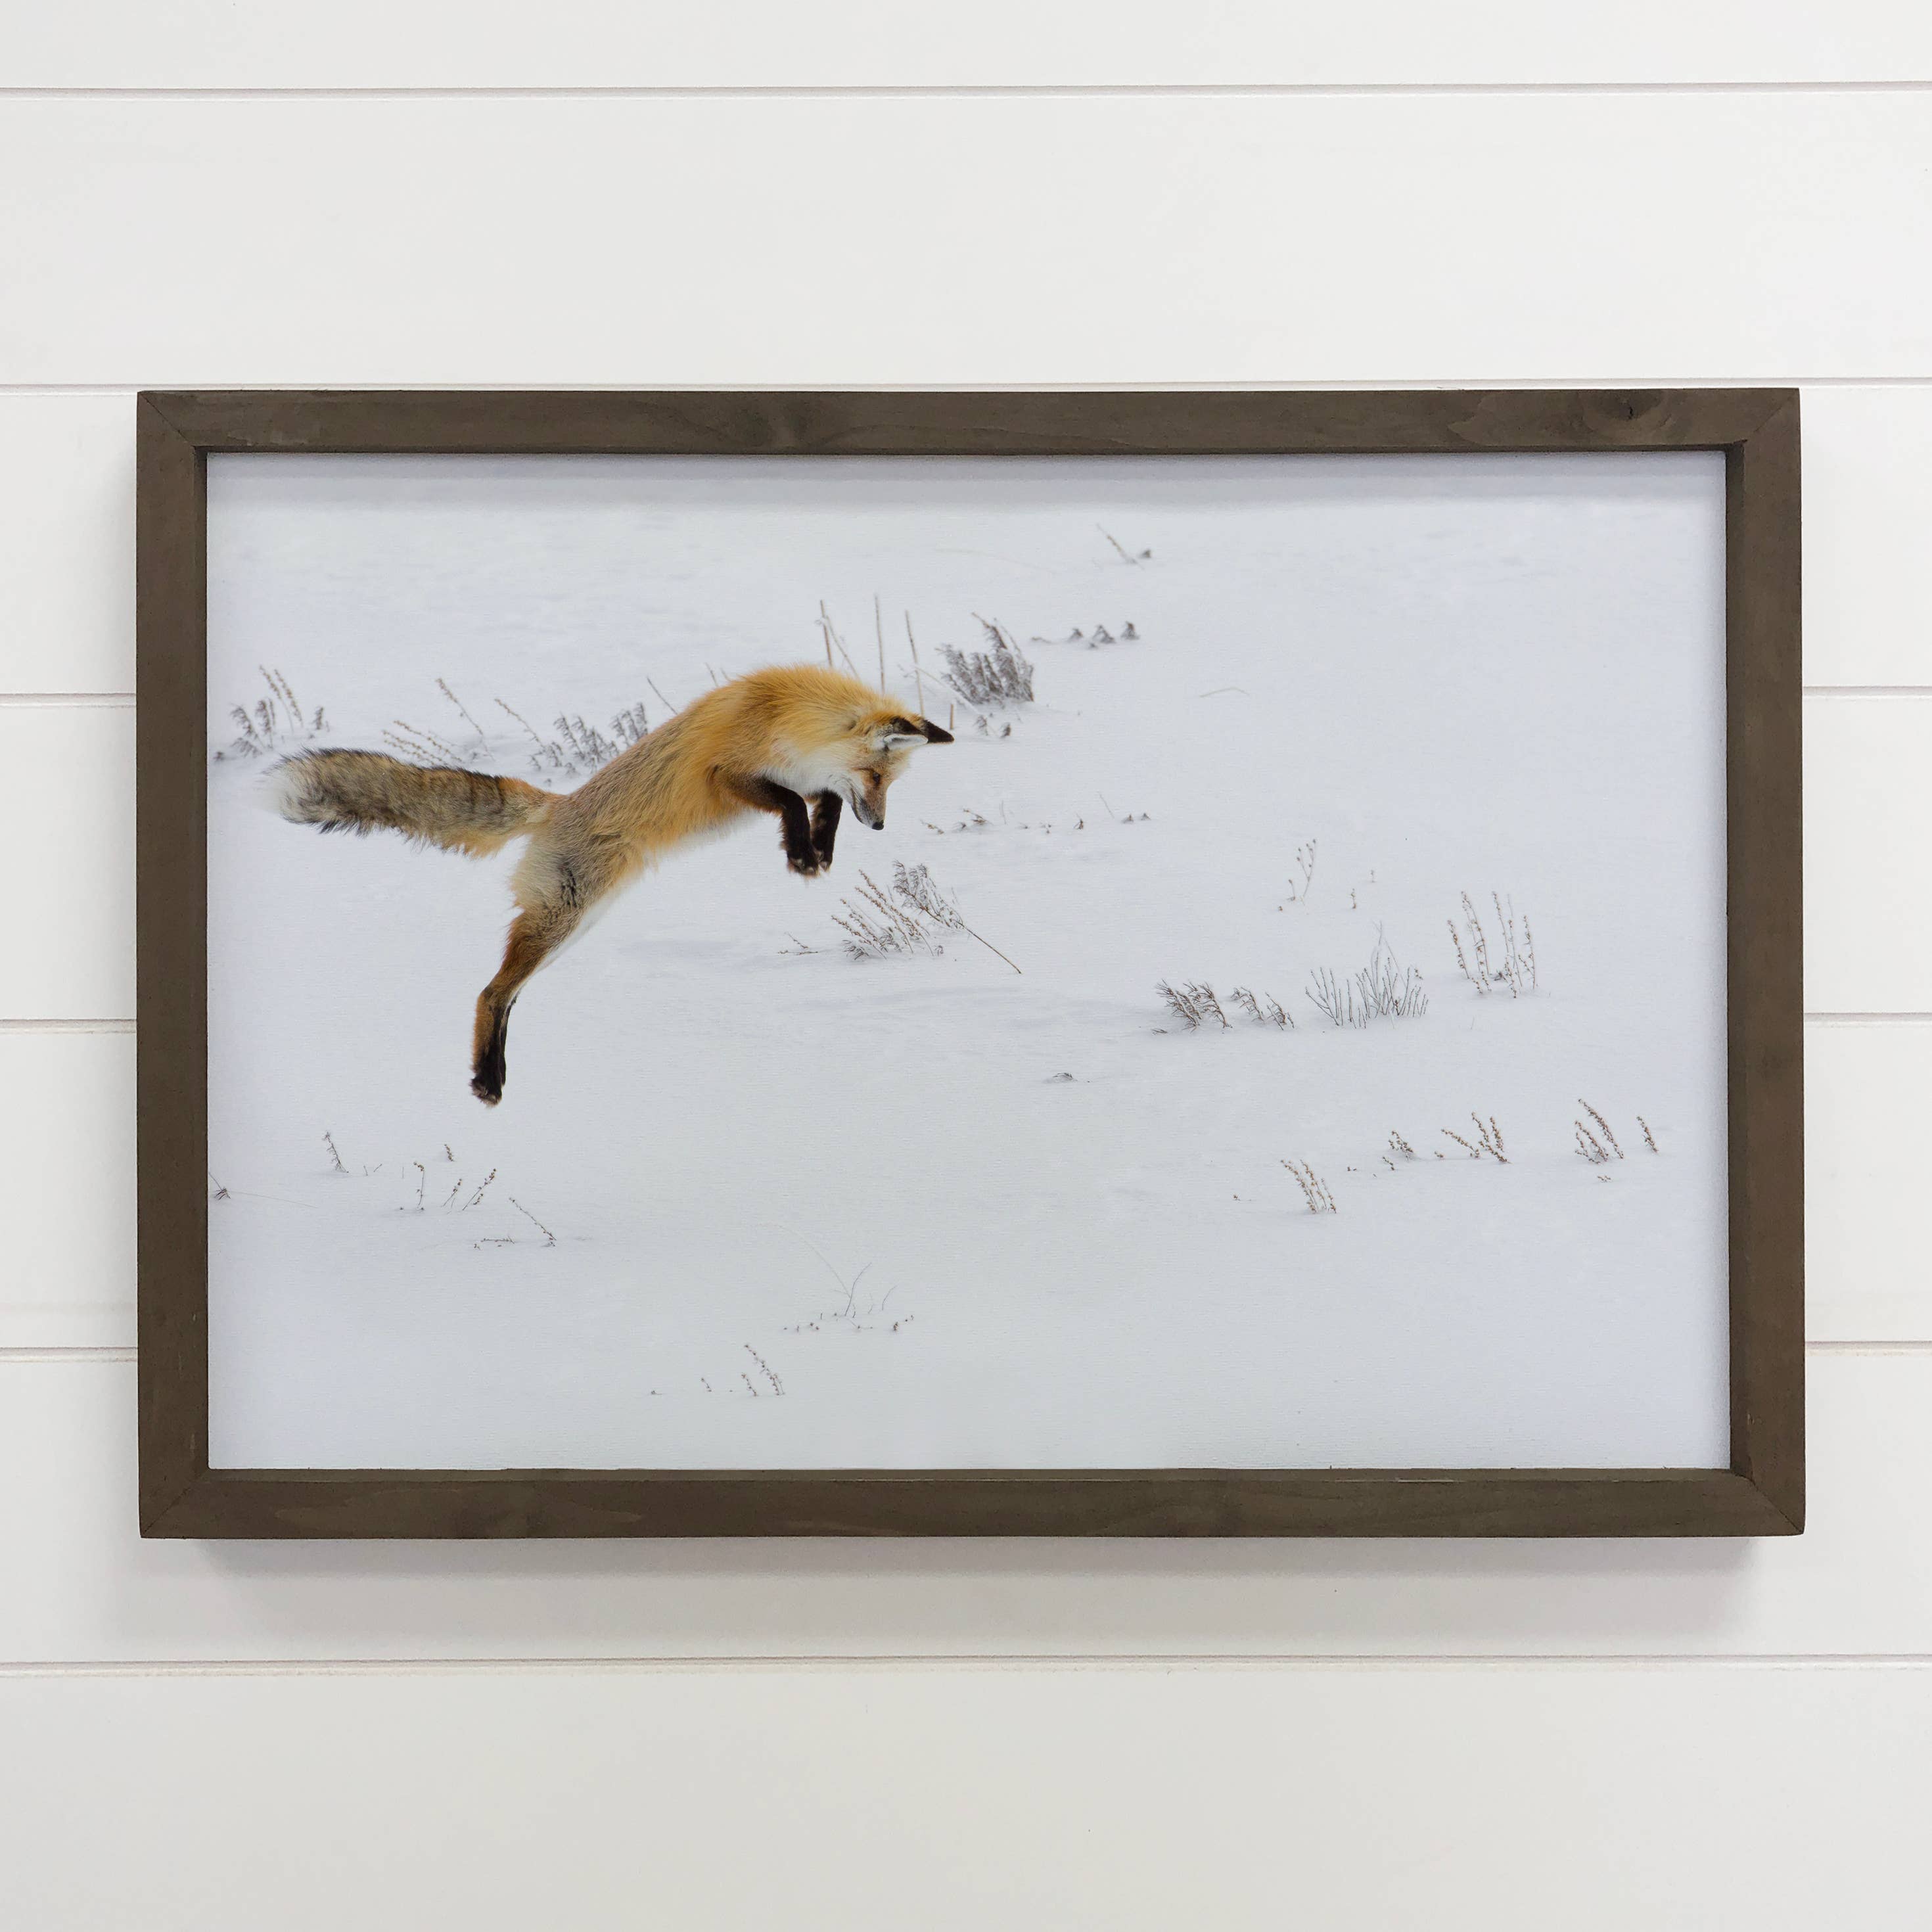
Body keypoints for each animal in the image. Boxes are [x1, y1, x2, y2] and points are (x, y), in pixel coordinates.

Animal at [271, 664, 953, 1105]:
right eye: (877, 776)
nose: (881, 824)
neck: (787, 715)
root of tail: (557, 805)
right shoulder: (726, 774)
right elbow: (788, 799)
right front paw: (804, 854)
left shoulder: (808, 778)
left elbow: (821, 802)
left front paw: (819, 851)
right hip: (564, 917)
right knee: (491, 993)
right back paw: (488, 1080)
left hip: (575, 927)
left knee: (508, 995)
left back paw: (491, 1076)